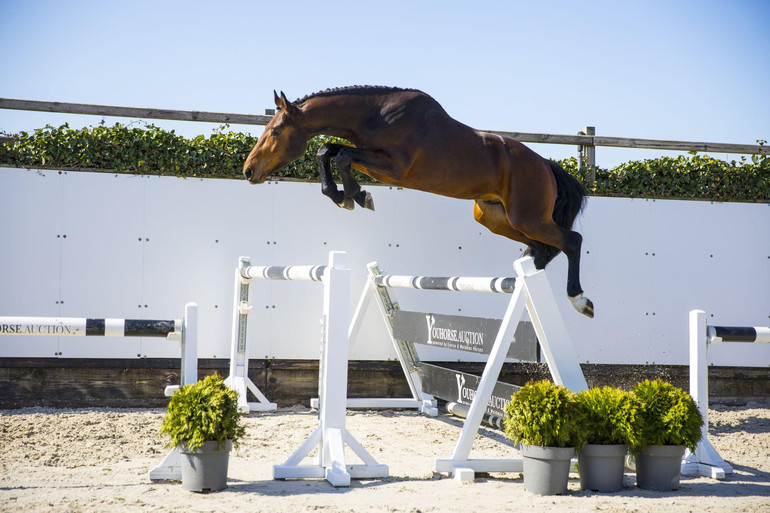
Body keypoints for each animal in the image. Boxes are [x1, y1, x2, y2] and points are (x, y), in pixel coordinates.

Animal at [243, 87, 592, 316]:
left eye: (275, 132)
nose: (248, 170)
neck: (376, 115)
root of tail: (545, 164)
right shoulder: (372, 158)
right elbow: (327, 150)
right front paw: (344, 195)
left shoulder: (394, 168)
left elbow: (340, 154)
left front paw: (356, 196)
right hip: (496, 219)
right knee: (545, 249)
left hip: (528, 218)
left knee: (572, 241)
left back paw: (579, 300)